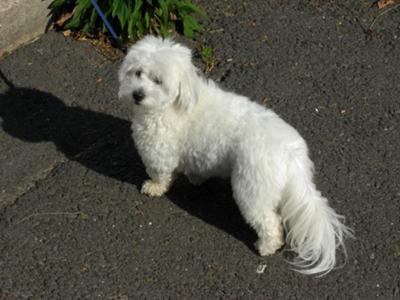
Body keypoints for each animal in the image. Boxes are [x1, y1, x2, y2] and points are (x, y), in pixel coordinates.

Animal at [117, 36, 352, 276]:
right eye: (137, 73)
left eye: (158, 81)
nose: (137, 94)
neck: (177, 102)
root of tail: (291, 155)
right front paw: (195, 178)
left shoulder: (159, 149)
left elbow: (161, 174)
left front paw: (154, 187)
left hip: (251, 189)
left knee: (269, 222)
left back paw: (266, 246)